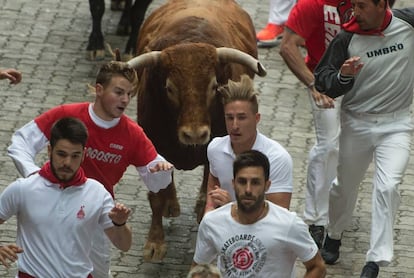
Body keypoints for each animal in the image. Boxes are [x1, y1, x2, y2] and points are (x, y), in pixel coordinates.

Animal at [125, 0, 266, 262]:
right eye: (169, 88)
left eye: (214, 86)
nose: (195, 135)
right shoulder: (153, 146)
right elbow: (156, 197)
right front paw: (155, 242)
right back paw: (171, 203)